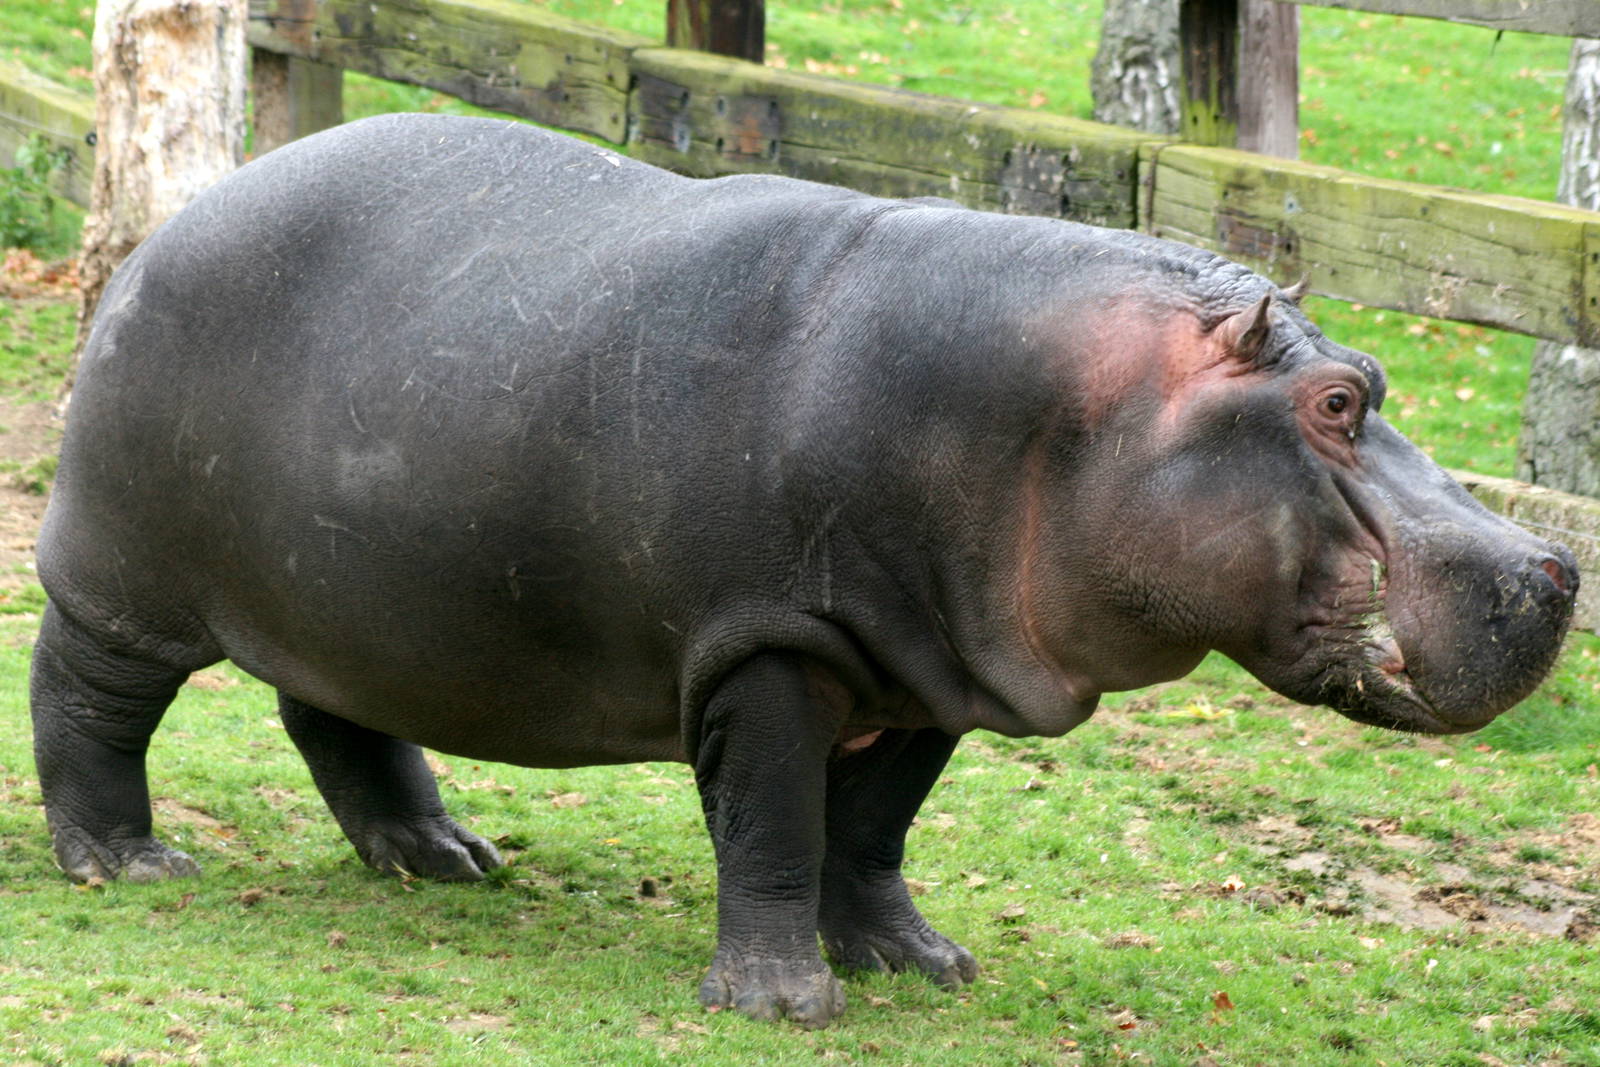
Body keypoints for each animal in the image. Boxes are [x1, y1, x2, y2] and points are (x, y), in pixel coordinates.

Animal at [33, 114, 1575, 1027]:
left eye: (1373, 376)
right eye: (1335, 404)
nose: (1556, 566)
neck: (1076, 408)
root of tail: (198, 200)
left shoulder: (923, 659)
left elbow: (875, 829)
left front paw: (923, 963)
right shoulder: (772, 641)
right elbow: (775, 821)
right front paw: (784, 1003)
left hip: (363, 594)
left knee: (335, 712)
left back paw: (449, 856)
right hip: (125, 571)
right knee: (88, 700)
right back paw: (127, 862)